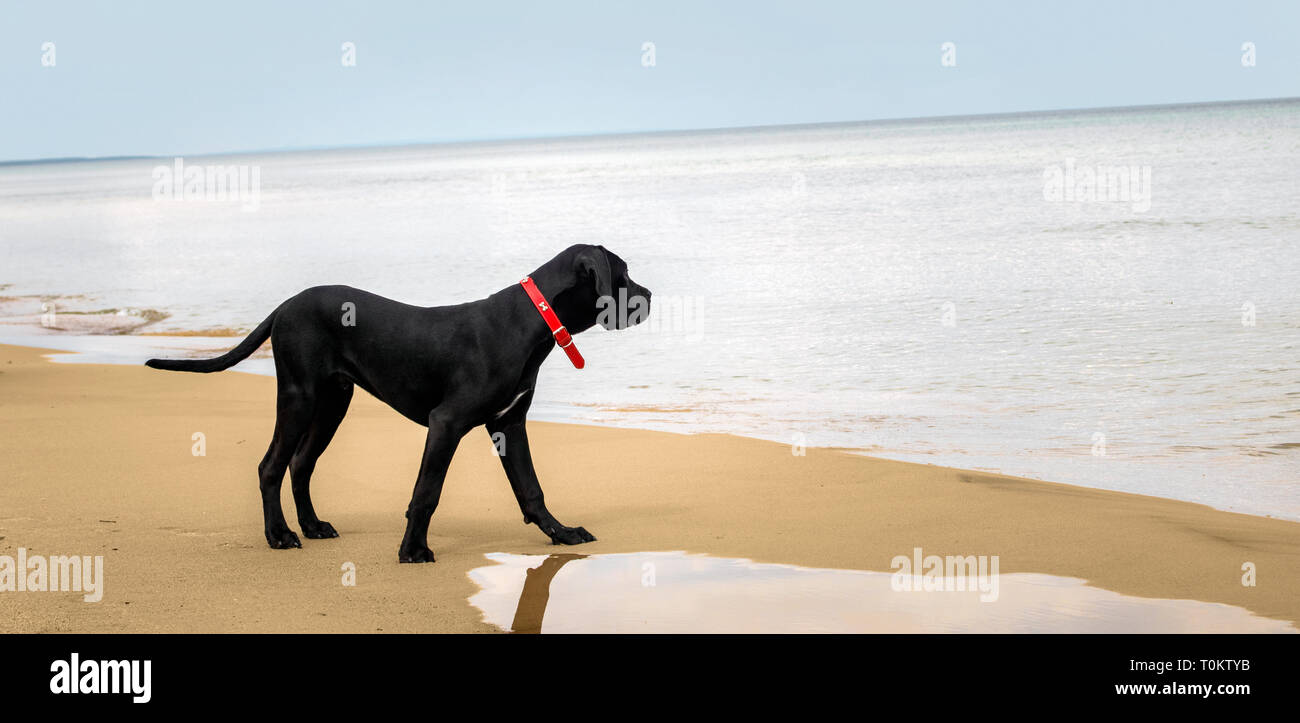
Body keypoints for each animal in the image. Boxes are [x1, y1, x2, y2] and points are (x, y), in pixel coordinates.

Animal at [146, 245, 650, 561]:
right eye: (623, 274)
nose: (650, 295)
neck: (529, 321)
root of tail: (285, 305)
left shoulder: (509, 424)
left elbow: (531, 489)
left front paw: (561, 534)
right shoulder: (446, 423)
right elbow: (426, 492)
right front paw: (412, 551)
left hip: (333, 402)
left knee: (301, 464)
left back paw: (312, 526)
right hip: (299, 397)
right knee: (271, 465)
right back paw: (280, 535)